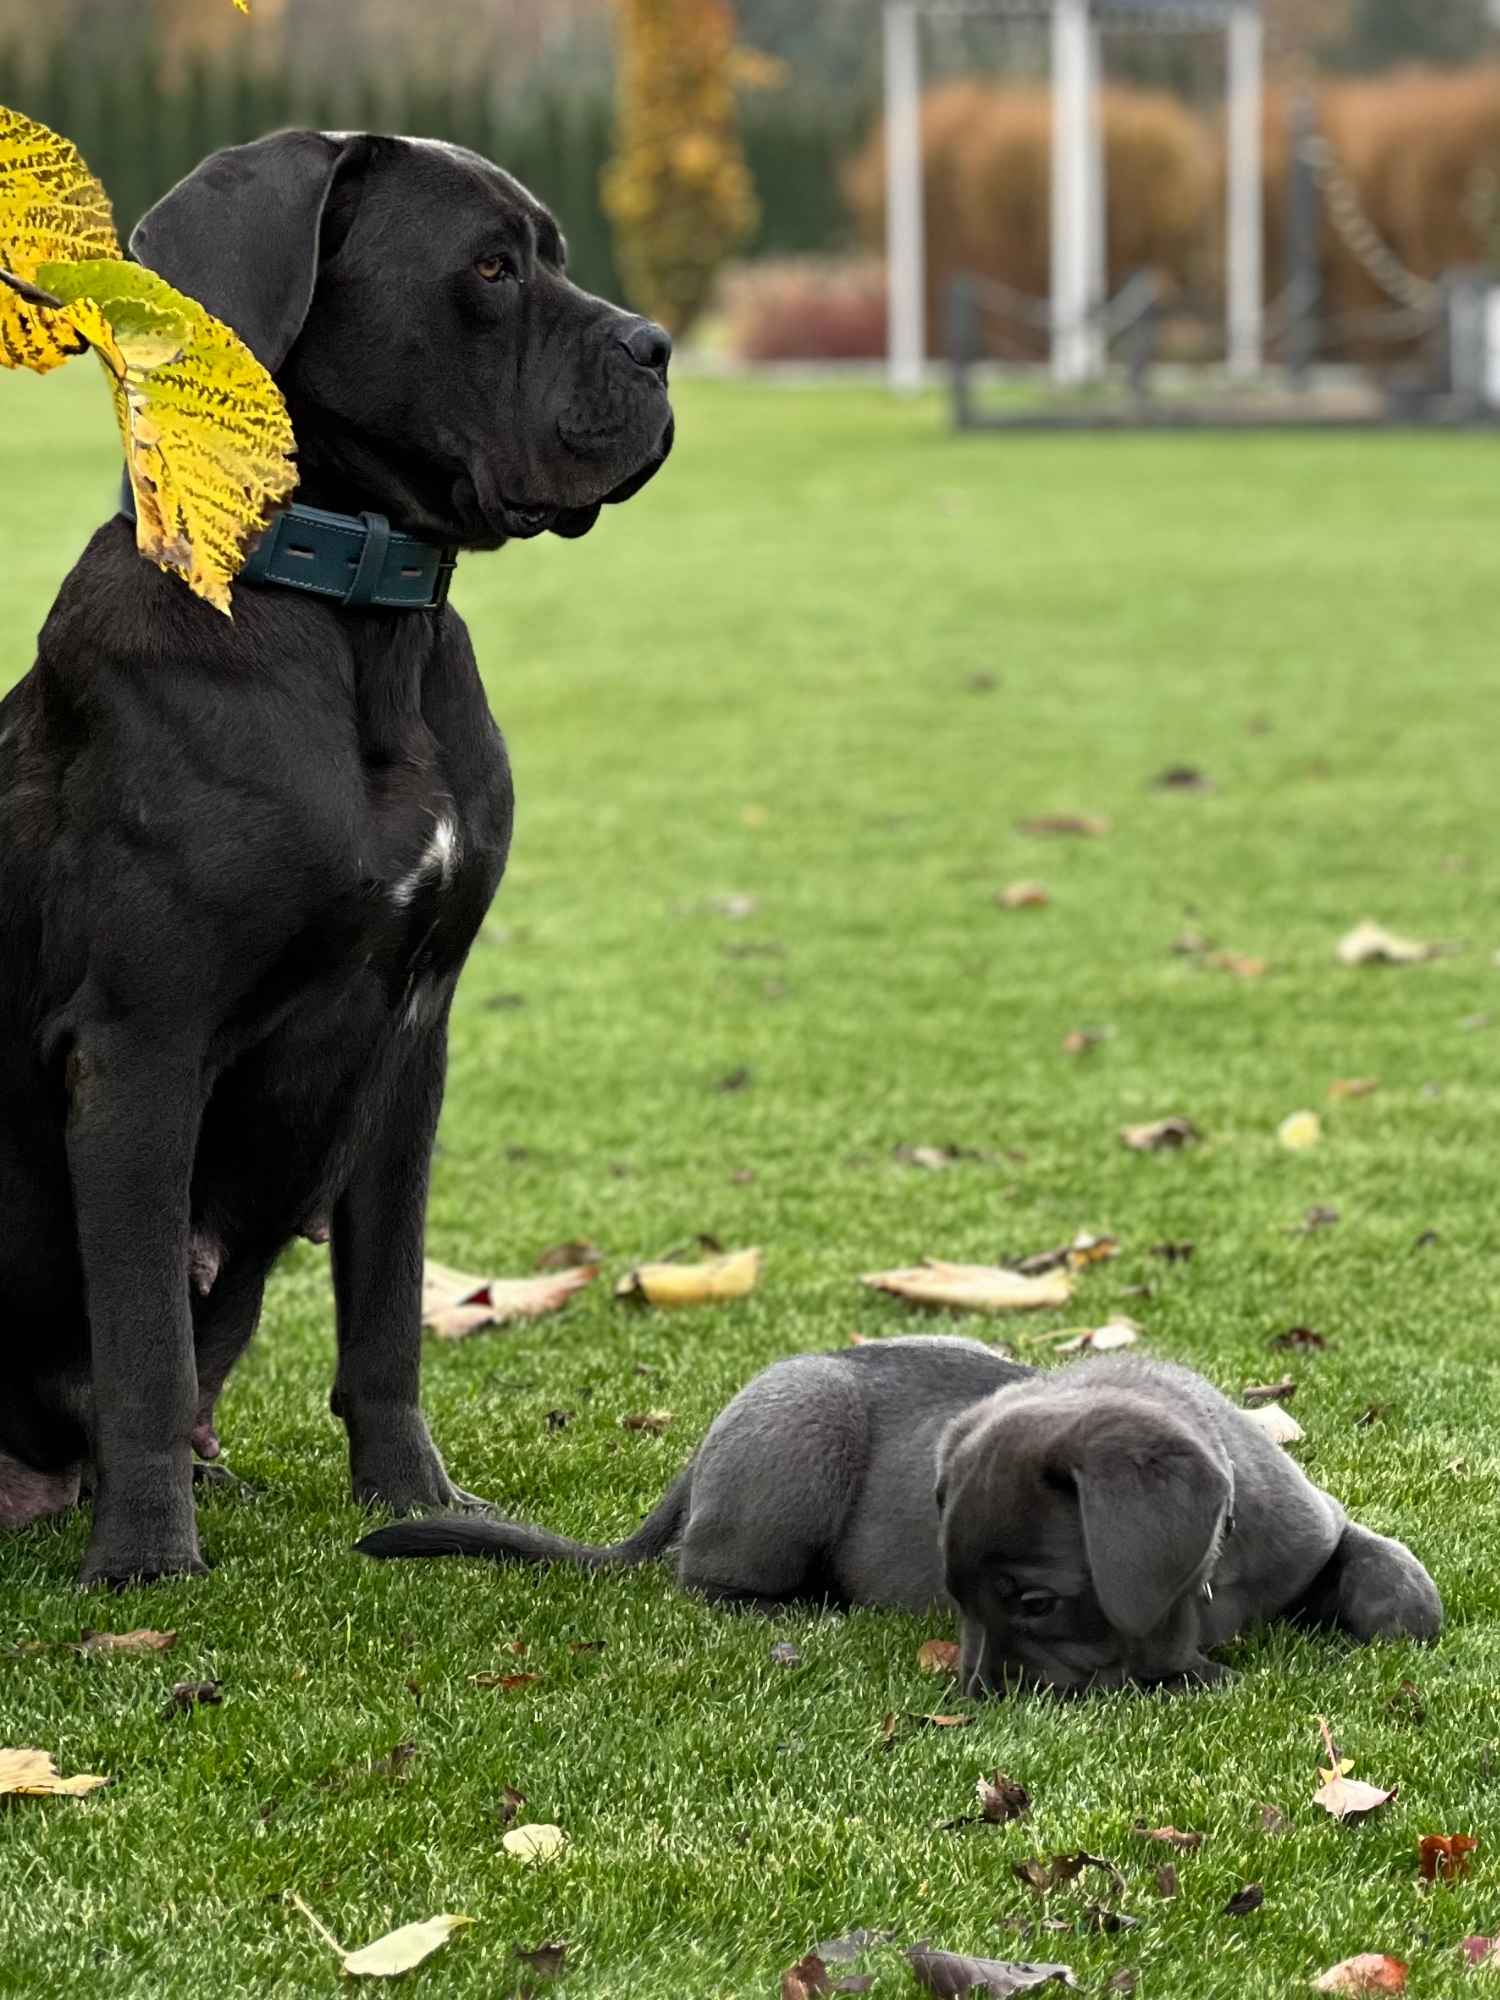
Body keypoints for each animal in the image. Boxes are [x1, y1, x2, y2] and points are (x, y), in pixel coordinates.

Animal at [0, 133, 676, 1584]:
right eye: (491, 268)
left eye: (556, 254)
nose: (656, 346)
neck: (357, 616)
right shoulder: (139, 1045)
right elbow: (142, 1335)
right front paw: (149, 1561)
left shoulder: (412, 1040)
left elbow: (384, 1309)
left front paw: (414, 1496)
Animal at [356, 1336, 1448, 1696]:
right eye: (959, 1601)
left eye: (1036, 1600)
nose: (979, 1695)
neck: (1219, 1573)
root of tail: (701, 1448)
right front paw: (1197, 1674)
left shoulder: (1309, 1529)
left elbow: (1385, 1561)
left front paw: (1401, 1612)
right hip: (802, 1432)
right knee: (706, 1577)